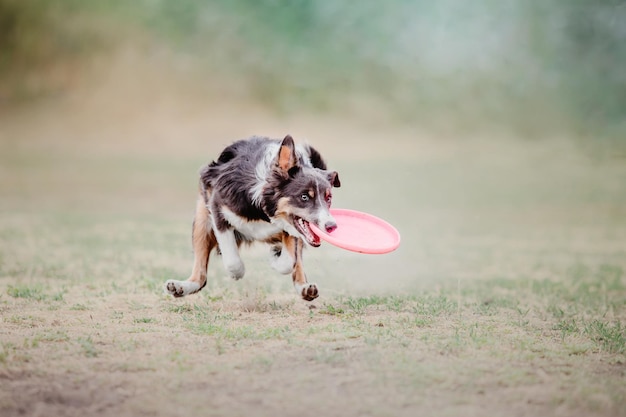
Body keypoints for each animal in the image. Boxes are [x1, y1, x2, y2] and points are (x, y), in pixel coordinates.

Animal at [163, 135, 338, 300]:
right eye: (304, 197)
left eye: (328, 198)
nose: (331, 226)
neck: (263, 207)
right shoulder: (217, 206)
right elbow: (232, 259)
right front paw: (237, 273)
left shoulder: (291, 228)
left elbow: (289, 261)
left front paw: (275, 257)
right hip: (202, 220)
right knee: (200, 274)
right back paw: (180, 287)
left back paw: (304, 287)